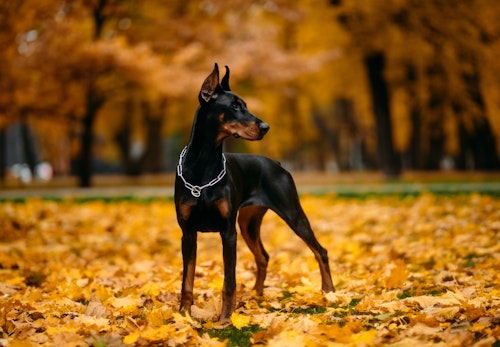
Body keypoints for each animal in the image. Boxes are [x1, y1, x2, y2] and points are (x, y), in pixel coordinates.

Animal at [174, 63, 334, 324]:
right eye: (234, 106)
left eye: (246, 105)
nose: (266, 128)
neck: (203, 165)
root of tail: (277, 164)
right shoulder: (187, 233)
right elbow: (187, 281)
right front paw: (183, 316)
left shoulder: (228, 232)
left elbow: (229, 282)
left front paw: (225, 320)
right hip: (248, 223)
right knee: (263, 256)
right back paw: (257, 295)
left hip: (292, 213)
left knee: (320, 251)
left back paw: (329, 292)